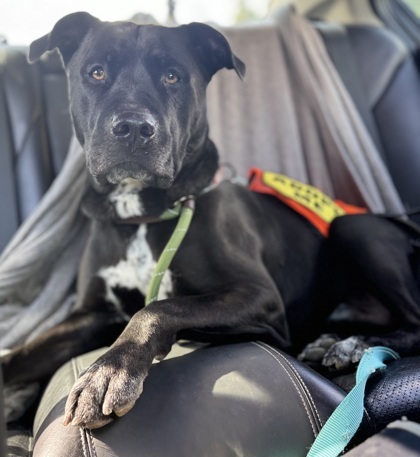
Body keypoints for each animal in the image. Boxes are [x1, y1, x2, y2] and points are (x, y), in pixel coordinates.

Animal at [2, 11, 420, 428]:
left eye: (173, 76)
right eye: (96, 72)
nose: (134, 128)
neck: (142, 213)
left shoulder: (258, 294)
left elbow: (158, 308)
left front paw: (108, 372)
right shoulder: (91, 314)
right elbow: (24, 353)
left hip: (353, 226)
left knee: (415, 322)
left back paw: (353, 345)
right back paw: (332, 341)